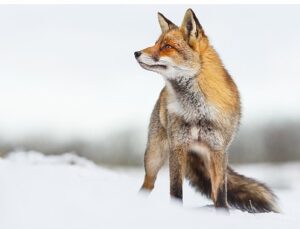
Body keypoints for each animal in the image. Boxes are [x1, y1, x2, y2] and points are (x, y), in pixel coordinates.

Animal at [134, 8, 278, 213]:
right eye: (155, 43)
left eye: (166, 46)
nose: (136, 53)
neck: (197, 111)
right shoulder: (178, 147)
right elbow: (175, 191)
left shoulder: (218, 150)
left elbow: (221, 192)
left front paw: (223, 214)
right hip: (154, 157)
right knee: (148, 184)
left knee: (213, 191)